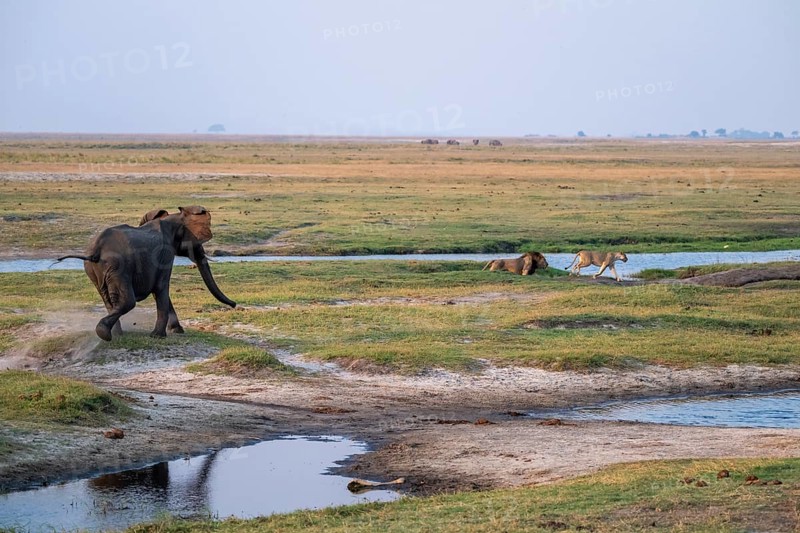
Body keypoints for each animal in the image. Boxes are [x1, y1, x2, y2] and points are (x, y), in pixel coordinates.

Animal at [58, 206, 236, 341]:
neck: (174, 217)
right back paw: (105, 334)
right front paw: (158, 336)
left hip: (96, 270)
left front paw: (175, 331)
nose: (234, 305)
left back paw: (115, 334)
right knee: (127, 301)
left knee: (108, 299)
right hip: (118, 267)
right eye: (197, 242)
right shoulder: (165, 253)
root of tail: (96, 249)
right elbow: (162, 287)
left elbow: (160, 291)